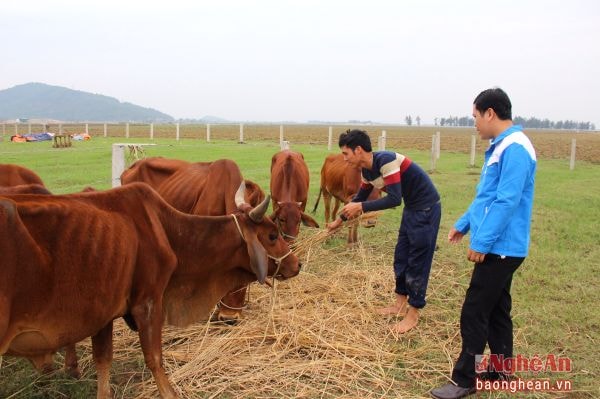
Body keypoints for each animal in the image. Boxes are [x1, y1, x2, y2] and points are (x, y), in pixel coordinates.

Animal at [0, 183, 300, 398]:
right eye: (272, 235)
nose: (297, 264)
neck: (167, 231)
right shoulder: (148, 302)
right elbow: (155, 360)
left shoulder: (104, 314)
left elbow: (103, 361)